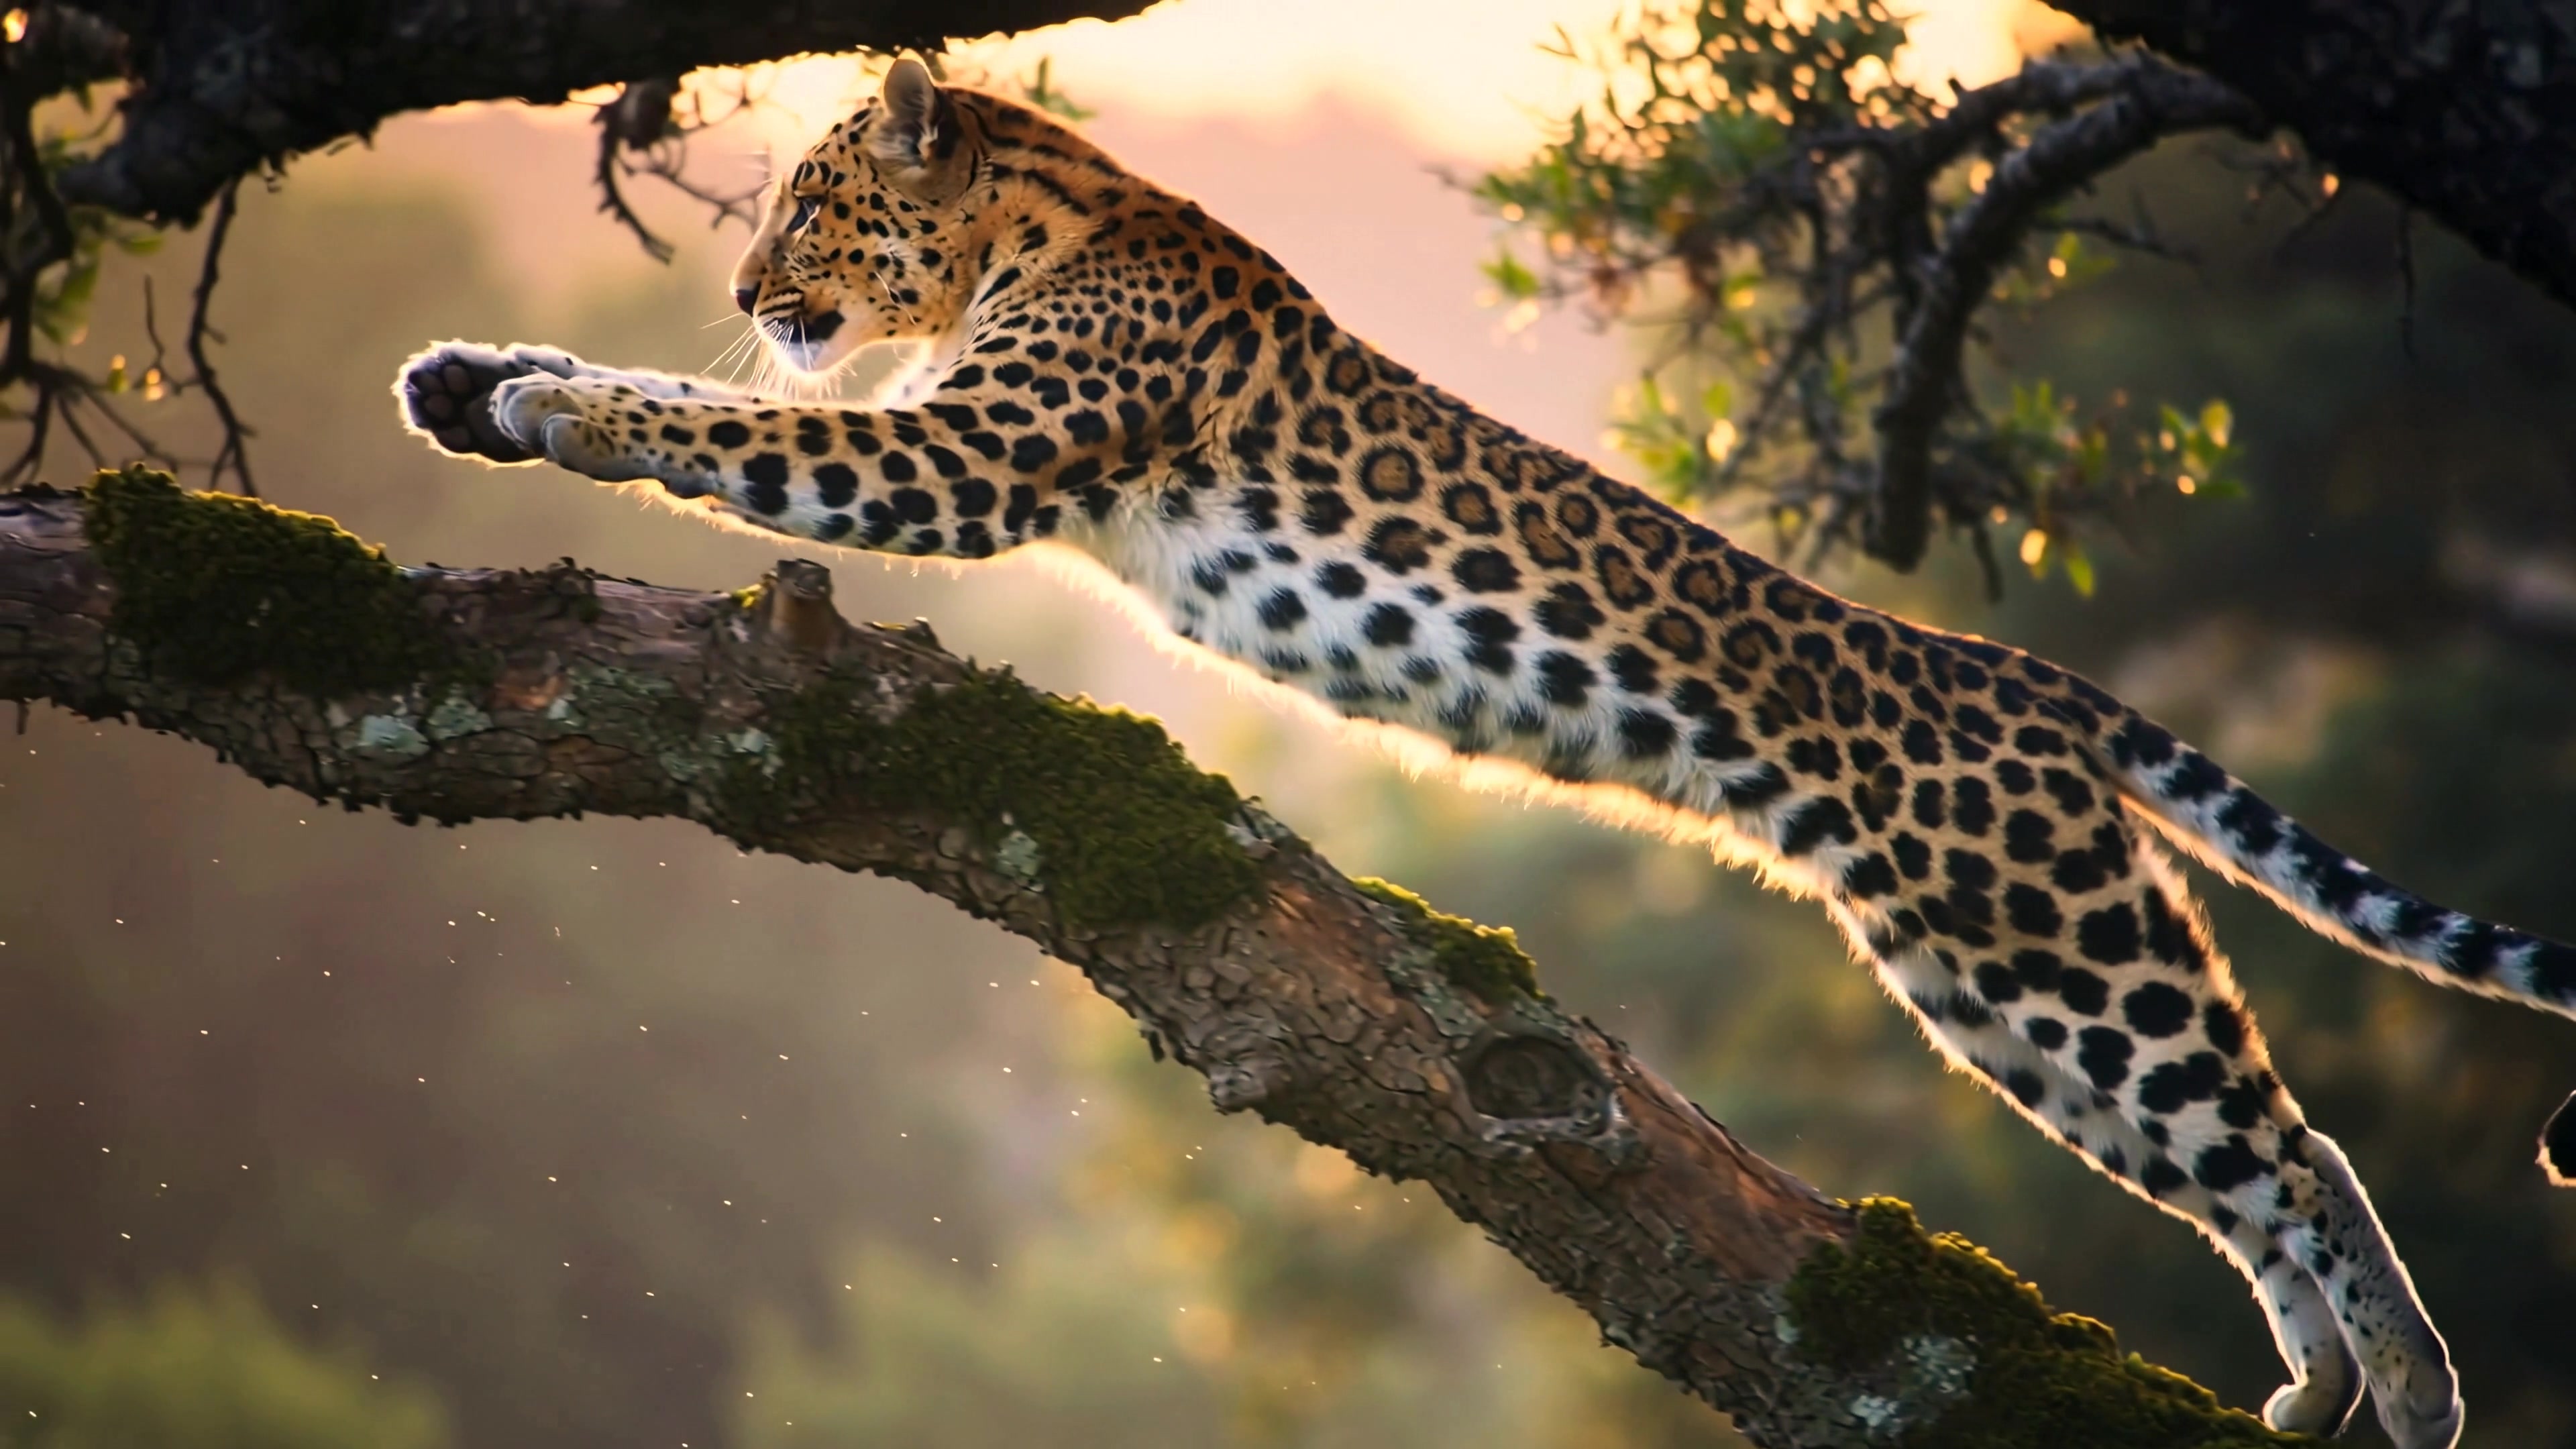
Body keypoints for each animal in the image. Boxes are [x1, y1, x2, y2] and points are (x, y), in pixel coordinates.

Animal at [396, 58, 2576, 1449]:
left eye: (810, 207)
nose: (751, 286)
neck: (1045, 213)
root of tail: (2015, 676)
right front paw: (472, 377)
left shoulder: (962, 454)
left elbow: (732, 428)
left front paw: (557, 405)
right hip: (1977, 979)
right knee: (2236, 1156)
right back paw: (2314, 1386)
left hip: (2039, 939)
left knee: (2282, 1139)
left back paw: (2413, 1388)